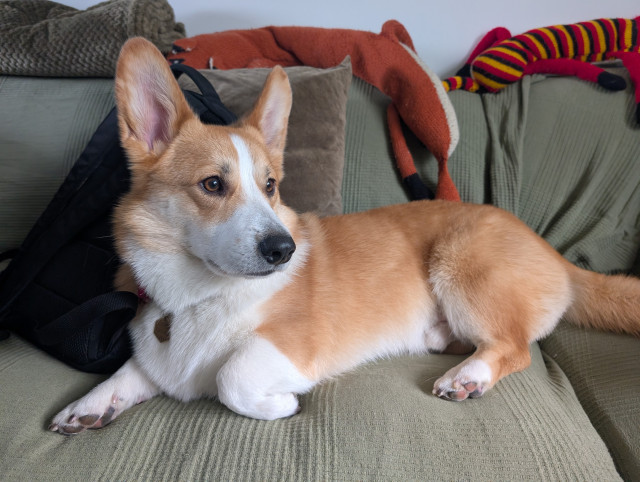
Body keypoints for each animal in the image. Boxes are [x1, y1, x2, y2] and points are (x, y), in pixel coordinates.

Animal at [50, 38, 640, 436]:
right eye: (213, 184)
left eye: (270, 186)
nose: (284, 250)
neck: (197, 294)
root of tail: (557, 256)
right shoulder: (159, 356)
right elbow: (130, 371)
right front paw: (87, 406)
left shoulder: (288, 344)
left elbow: (231, 378)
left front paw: (281, 405)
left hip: (459, 263)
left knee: (514, 346)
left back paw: (467, 375)